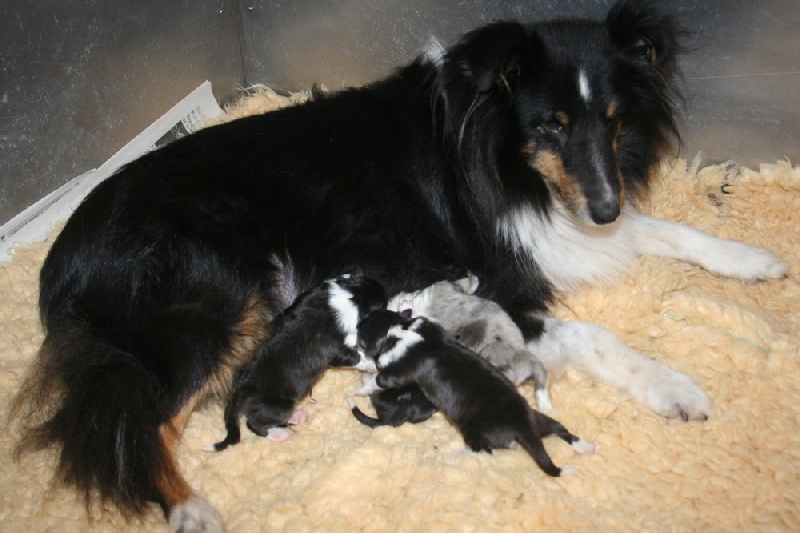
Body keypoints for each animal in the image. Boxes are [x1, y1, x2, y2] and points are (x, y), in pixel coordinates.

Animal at [208, 276, 386, 450]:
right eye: (381, 304)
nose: (383, 289)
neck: (348, 298)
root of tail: (238, 396)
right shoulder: (337, 351)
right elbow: (357, 357)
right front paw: (373, 366)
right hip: (279, 406)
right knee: (255, 424)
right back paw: (278, 434)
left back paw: (297, 416)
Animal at [354, 310, 592, 476]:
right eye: (370, 314)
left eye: (362, 334)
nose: (357, 323)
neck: (400, 330)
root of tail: (522, 426)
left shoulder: (398, 371)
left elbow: (382, 377)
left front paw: (367, 378)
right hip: (539, 419)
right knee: (561, 429)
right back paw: (585, 446)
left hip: (473, 430)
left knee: (484, 451)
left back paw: (459, 454)